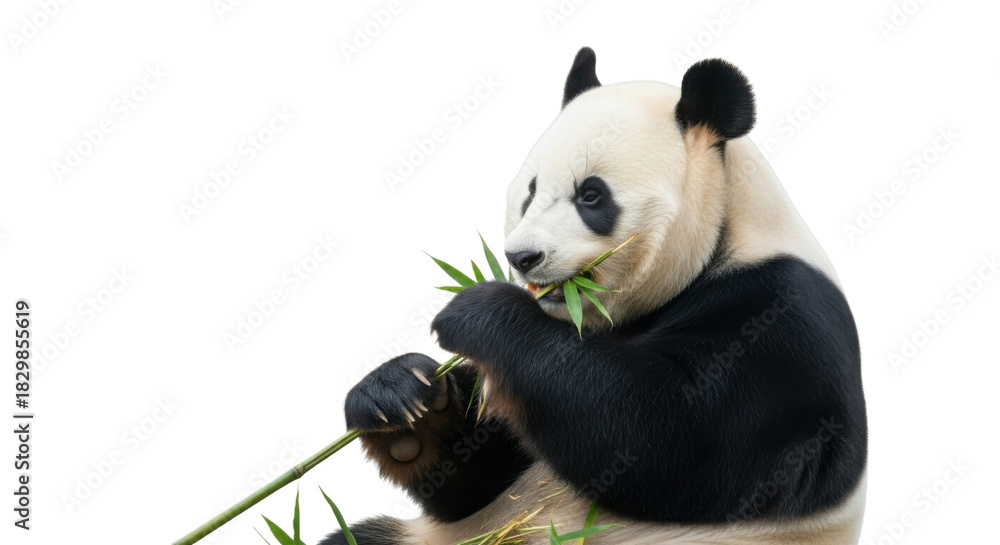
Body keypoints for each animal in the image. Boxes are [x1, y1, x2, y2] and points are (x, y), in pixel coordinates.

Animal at [322, 48, 868, 545]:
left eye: (591, 195)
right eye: (530, 191)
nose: (522, 257)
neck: (725, 236)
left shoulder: (780, 321)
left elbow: (667, 438)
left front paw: (479, 311)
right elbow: (478, 476)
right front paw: (402, 398)